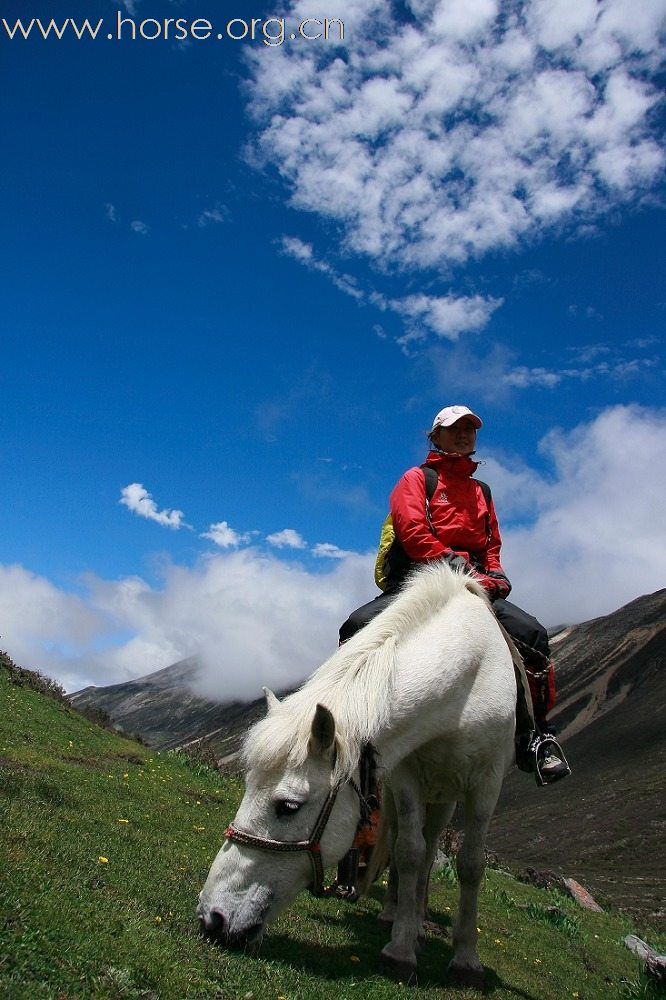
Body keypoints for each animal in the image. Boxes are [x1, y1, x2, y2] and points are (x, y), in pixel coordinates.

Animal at [197, 564, 512, 984]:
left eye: (289, 806)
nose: (212, 917)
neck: (463, 688)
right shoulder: (406, 775)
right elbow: (407, 852)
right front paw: (401, 949)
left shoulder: (488, 781)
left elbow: (471, 865)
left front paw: (465, 960)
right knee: (408, 846)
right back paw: (398, 916)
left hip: (447, 795)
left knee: (431, 848)